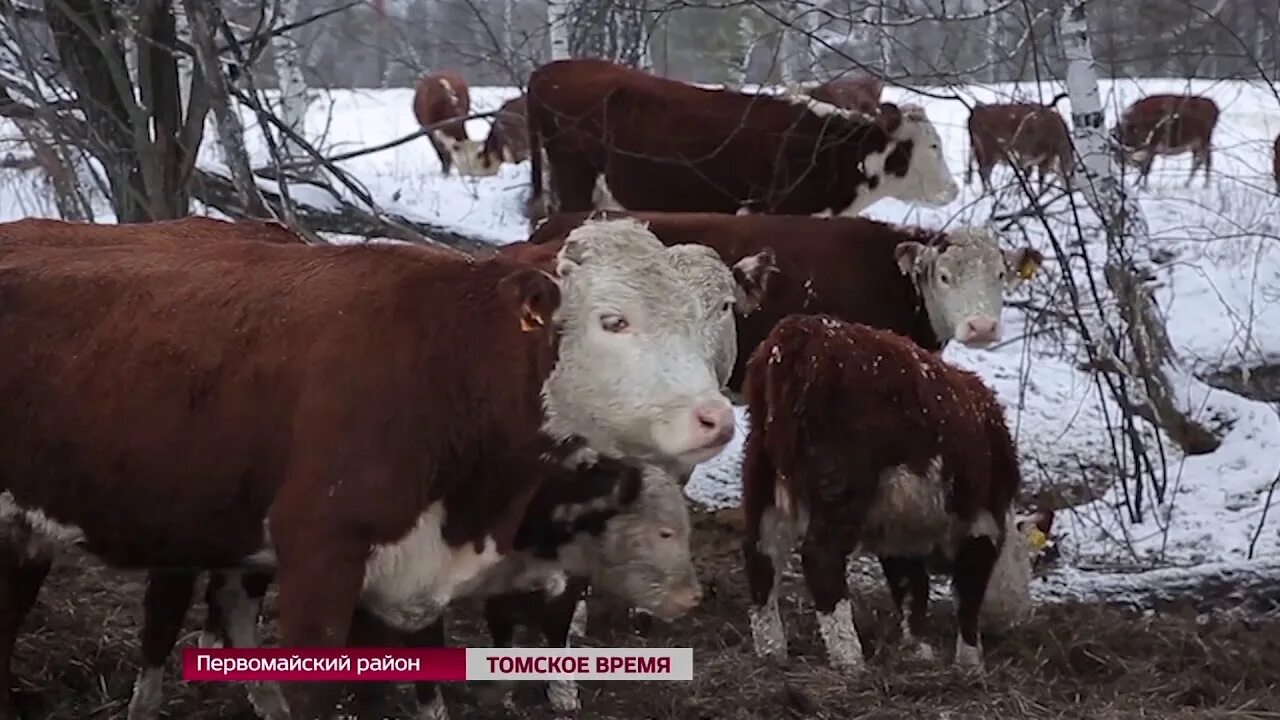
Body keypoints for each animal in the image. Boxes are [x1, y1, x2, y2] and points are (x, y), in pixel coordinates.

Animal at [747, 316, 1024, 671]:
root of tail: (802, 332)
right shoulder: (982, 526)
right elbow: (968, 598)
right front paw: (970, 663)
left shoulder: (898, 534)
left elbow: (911, 589)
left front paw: (917, 649)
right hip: (843, 484)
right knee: (821, 558)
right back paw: (850, 659)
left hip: (761, 470)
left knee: (761, 554)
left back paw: (772, 651)